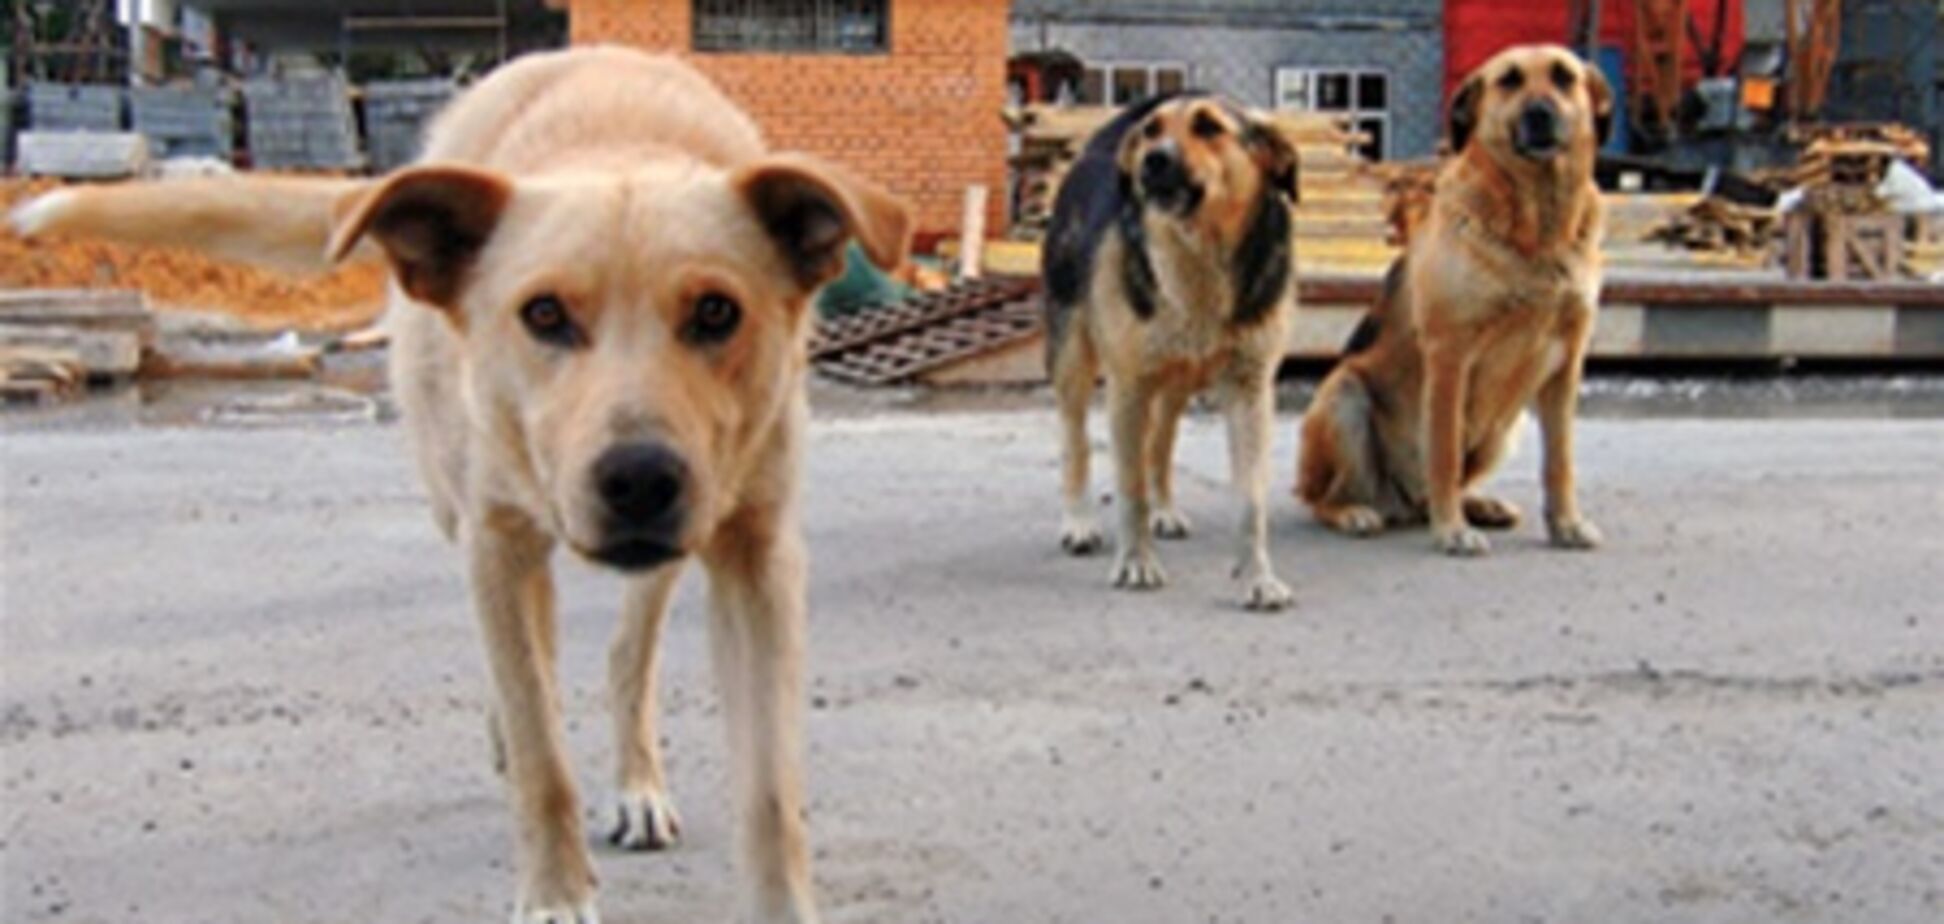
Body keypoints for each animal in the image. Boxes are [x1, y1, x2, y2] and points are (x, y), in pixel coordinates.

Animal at [15, 46, 909, 922]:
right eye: (544, 314)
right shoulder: (495, 539)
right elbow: (543, 748)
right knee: (529, 664)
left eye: (717, 312)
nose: (639, 479)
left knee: (625, 651)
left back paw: (636, 781)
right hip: (467, 512)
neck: (618, 147)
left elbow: (770, 792)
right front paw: (555, 895)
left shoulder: (758, 553)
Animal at [1041, 92, 1298, 606]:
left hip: (1177, 382)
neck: (1199, 260)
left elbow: (1251, 501)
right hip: (1073, 354)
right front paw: (1136, 563)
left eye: (1209, 127)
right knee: (1076, 440)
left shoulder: (1251, 388)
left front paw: (1257, 577)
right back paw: (1078, 521)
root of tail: (1097, 150)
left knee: (1160, 442)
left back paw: (1164, 509)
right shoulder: (1128, 388)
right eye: (1152, 130)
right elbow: (1129, 487)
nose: (1152, 161)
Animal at [1306, 45, 1609, 556]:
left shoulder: (1566, 365)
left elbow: (1560, 459)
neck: (1536, 234)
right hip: (1344, 395)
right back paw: (1357, 512)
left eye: (1564, 77)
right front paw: (1451, 531)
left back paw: (1479, 505)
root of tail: (1403, 502)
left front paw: (1566, 523)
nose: (1540, 114)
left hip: (1506, 426)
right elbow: (1444, 452)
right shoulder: (1450, 356)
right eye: (1509, 80)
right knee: (1323, 497)